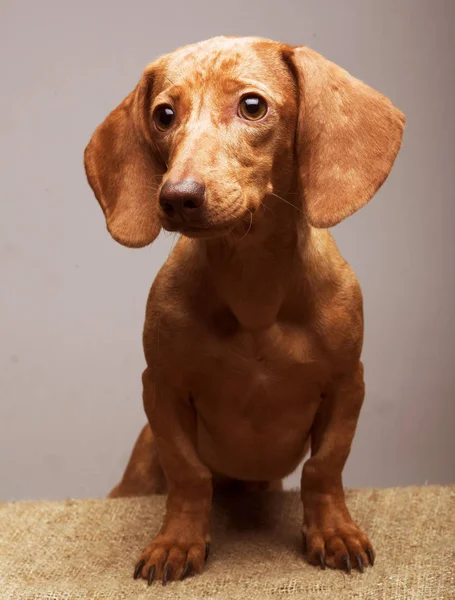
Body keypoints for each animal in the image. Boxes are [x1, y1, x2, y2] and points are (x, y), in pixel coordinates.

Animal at [83, 34, 404, 584]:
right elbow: (189, 475)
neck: (255, 289)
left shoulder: (348, 385)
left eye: (252, 105)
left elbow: (324, 468)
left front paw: (334, 532)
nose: (177, 197)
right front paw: (178, 541)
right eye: (164, 115)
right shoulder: (161, 389)